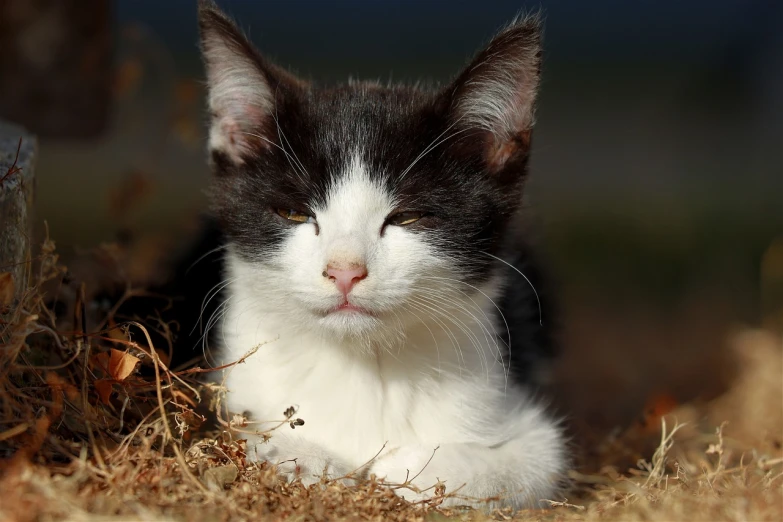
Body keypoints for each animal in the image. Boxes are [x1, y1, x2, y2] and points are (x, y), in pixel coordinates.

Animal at [194, 0, 568, 508]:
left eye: (408, 217)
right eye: (293, 212)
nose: (345, 271)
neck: (361, 366)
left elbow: (539, 456)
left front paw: (409, 468)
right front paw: (303, 457)